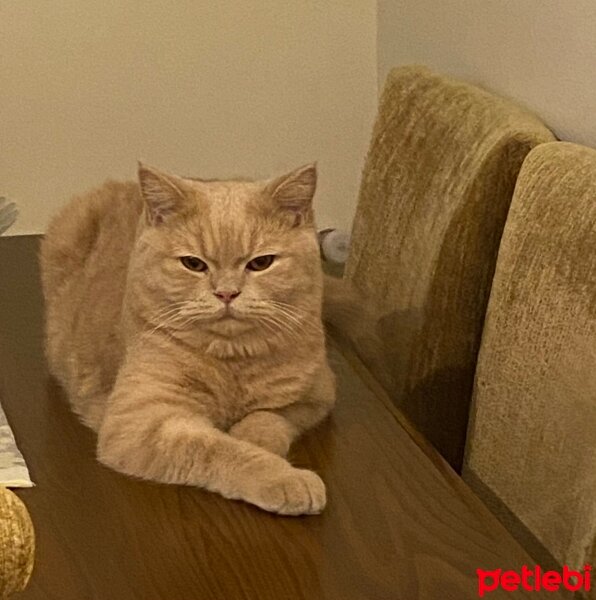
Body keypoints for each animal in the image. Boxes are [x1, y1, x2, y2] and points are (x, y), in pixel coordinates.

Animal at [40, 163, 340, 516]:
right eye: (194, 264)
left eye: (261, 263)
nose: (227, 293)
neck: (232, 365)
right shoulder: (143, 423)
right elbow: (220, 450)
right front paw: (284, 477)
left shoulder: (317, 396)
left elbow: (269, 419)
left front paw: (254, 438)